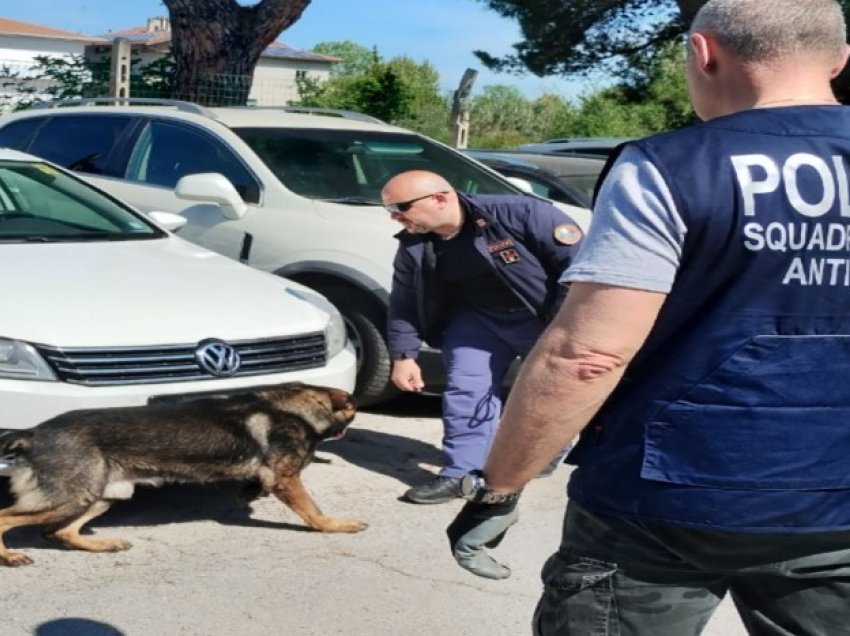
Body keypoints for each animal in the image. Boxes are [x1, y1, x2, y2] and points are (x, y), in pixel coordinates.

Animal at [0, 382, 366, 568]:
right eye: (353, 409)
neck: (292, 405)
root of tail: (33, 432)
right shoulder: (287, 480)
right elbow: (313, 512)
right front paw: (336, 525)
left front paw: (249, 493)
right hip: (69, 498)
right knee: (8, 518)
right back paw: (10, 556)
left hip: (101, 494)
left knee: (58, 532)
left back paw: (105, 543)